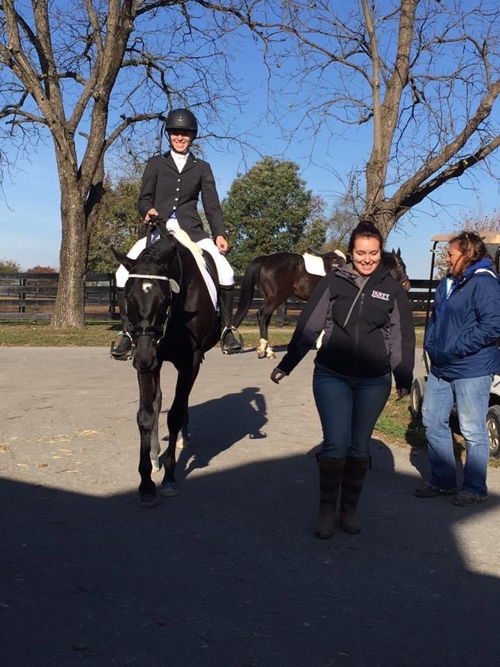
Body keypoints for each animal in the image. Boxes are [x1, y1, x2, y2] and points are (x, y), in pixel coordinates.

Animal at [115, 234, 221, 506]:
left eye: (164, 300)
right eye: (127, 297)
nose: (142, 358)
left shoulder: (189, 362)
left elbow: (174, 414)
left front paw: (170, 477)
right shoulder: (150, 360)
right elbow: (146, 415)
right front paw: (146, 482)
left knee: (182, 402)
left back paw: (183, 437)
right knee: (159, 400)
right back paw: (154, 456)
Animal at [233, 249, 410, 360]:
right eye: (402, 265)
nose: (407, 285)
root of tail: (266, 259)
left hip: (270, 298)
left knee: (265, 319)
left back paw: (267, 350)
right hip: (276, 298)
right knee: (262, 316)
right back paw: (264, 350)